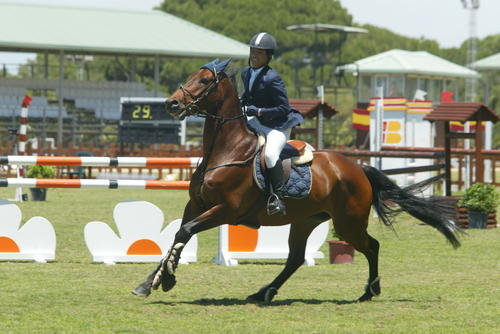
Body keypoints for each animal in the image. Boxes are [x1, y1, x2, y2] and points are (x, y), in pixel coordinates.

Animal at [132, 59, 460, 302]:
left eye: (203, 81)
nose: (171, 104)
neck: (226, 149)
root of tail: (358, 168)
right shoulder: (196, 205)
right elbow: (179, 234)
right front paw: (150, 282)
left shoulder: (225, 210)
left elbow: (185, 231)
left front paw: (166, 279)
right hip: (306, 220)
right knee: (295, 259)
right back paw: (264, 292)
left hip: (348, 222)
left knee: (372, 246)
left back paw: (370, 291)